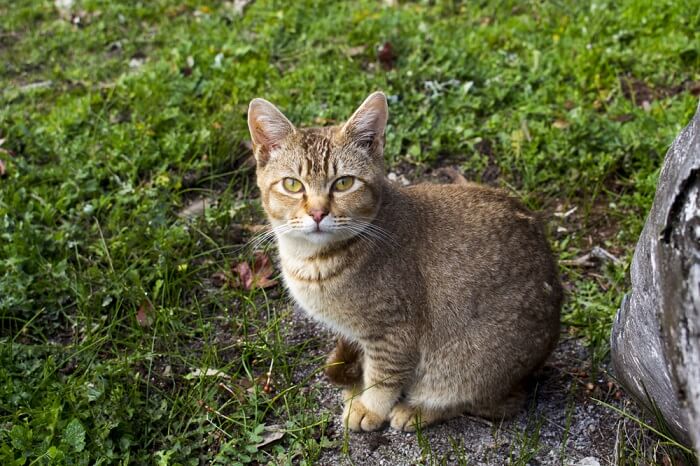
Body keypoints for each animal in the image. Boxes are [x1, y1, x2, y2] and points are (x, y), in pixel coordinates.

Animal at [246, 92, 564, 434]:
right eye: (292, 185)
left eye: (344, 183)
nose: (318, 213)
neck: (313, 260)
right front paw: (355, 385)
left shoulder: (394, 331)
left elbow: (384, 375)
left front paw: (370, 407)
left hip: (472, 366)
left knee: (491, 403)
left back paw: (418, 409)